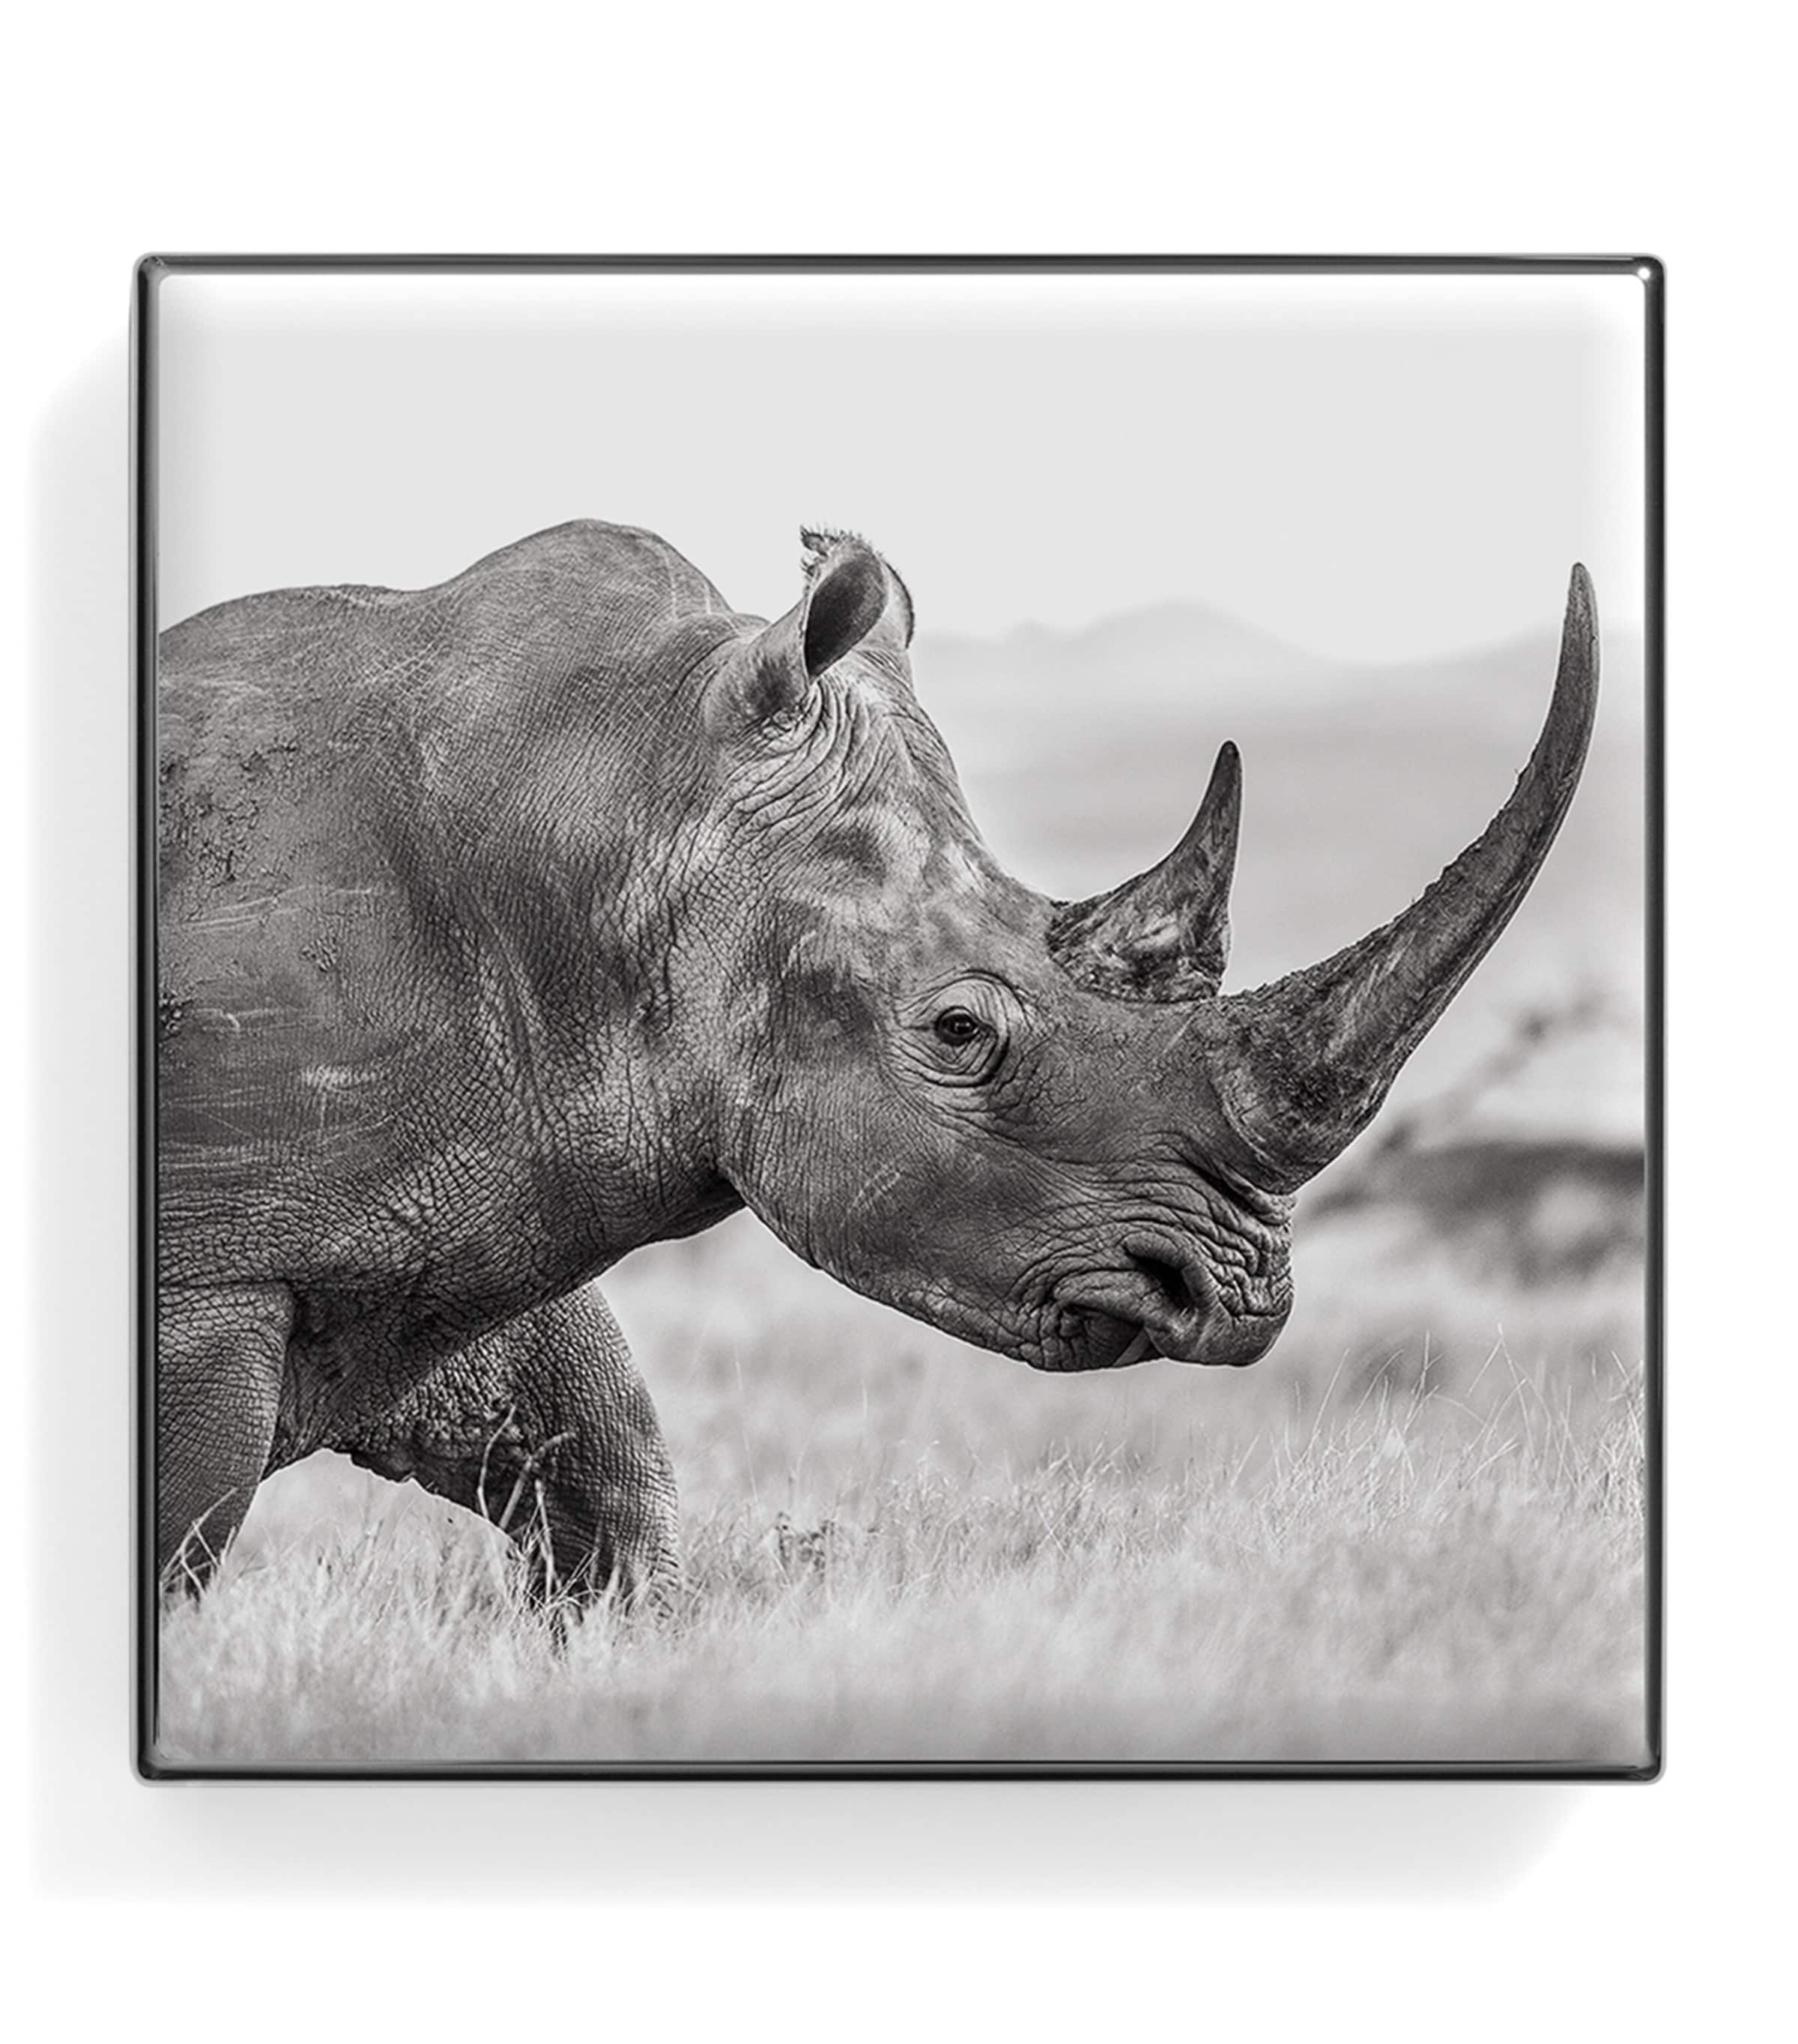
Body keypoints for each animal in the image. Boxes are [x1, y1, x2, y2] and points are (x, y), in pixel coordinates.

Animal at [155, 521, 1598, 1602]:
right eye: (961, 1034)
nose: (1237, 1295)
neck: (626, 808)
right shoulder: (214, 1272)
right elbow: (183, 1542)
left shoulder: (469, 1185)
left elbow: (609, 1473)